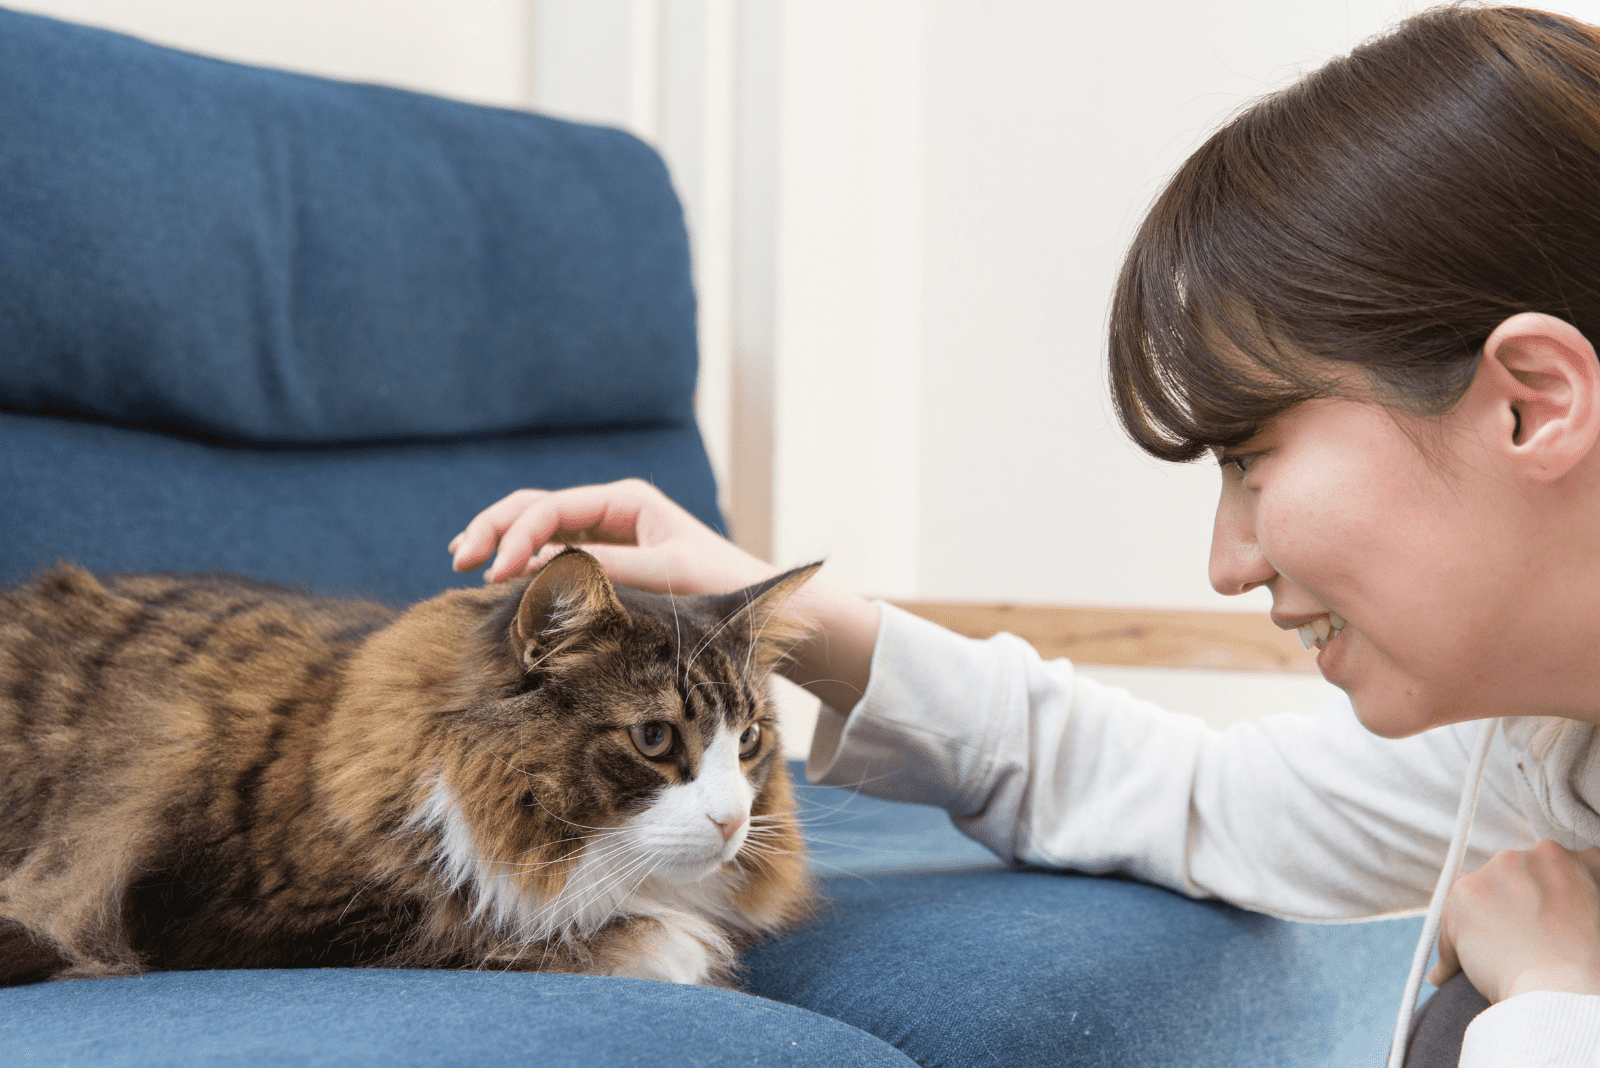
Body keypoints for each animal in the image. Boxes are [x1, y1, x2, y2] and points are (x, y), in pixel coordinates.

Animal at [0, 556, 819, 991]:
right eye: (654, 738)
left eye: (748, 740)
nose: (734, 822)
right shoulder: (235, 920)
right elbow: (479, 929)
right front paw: (678, 949)